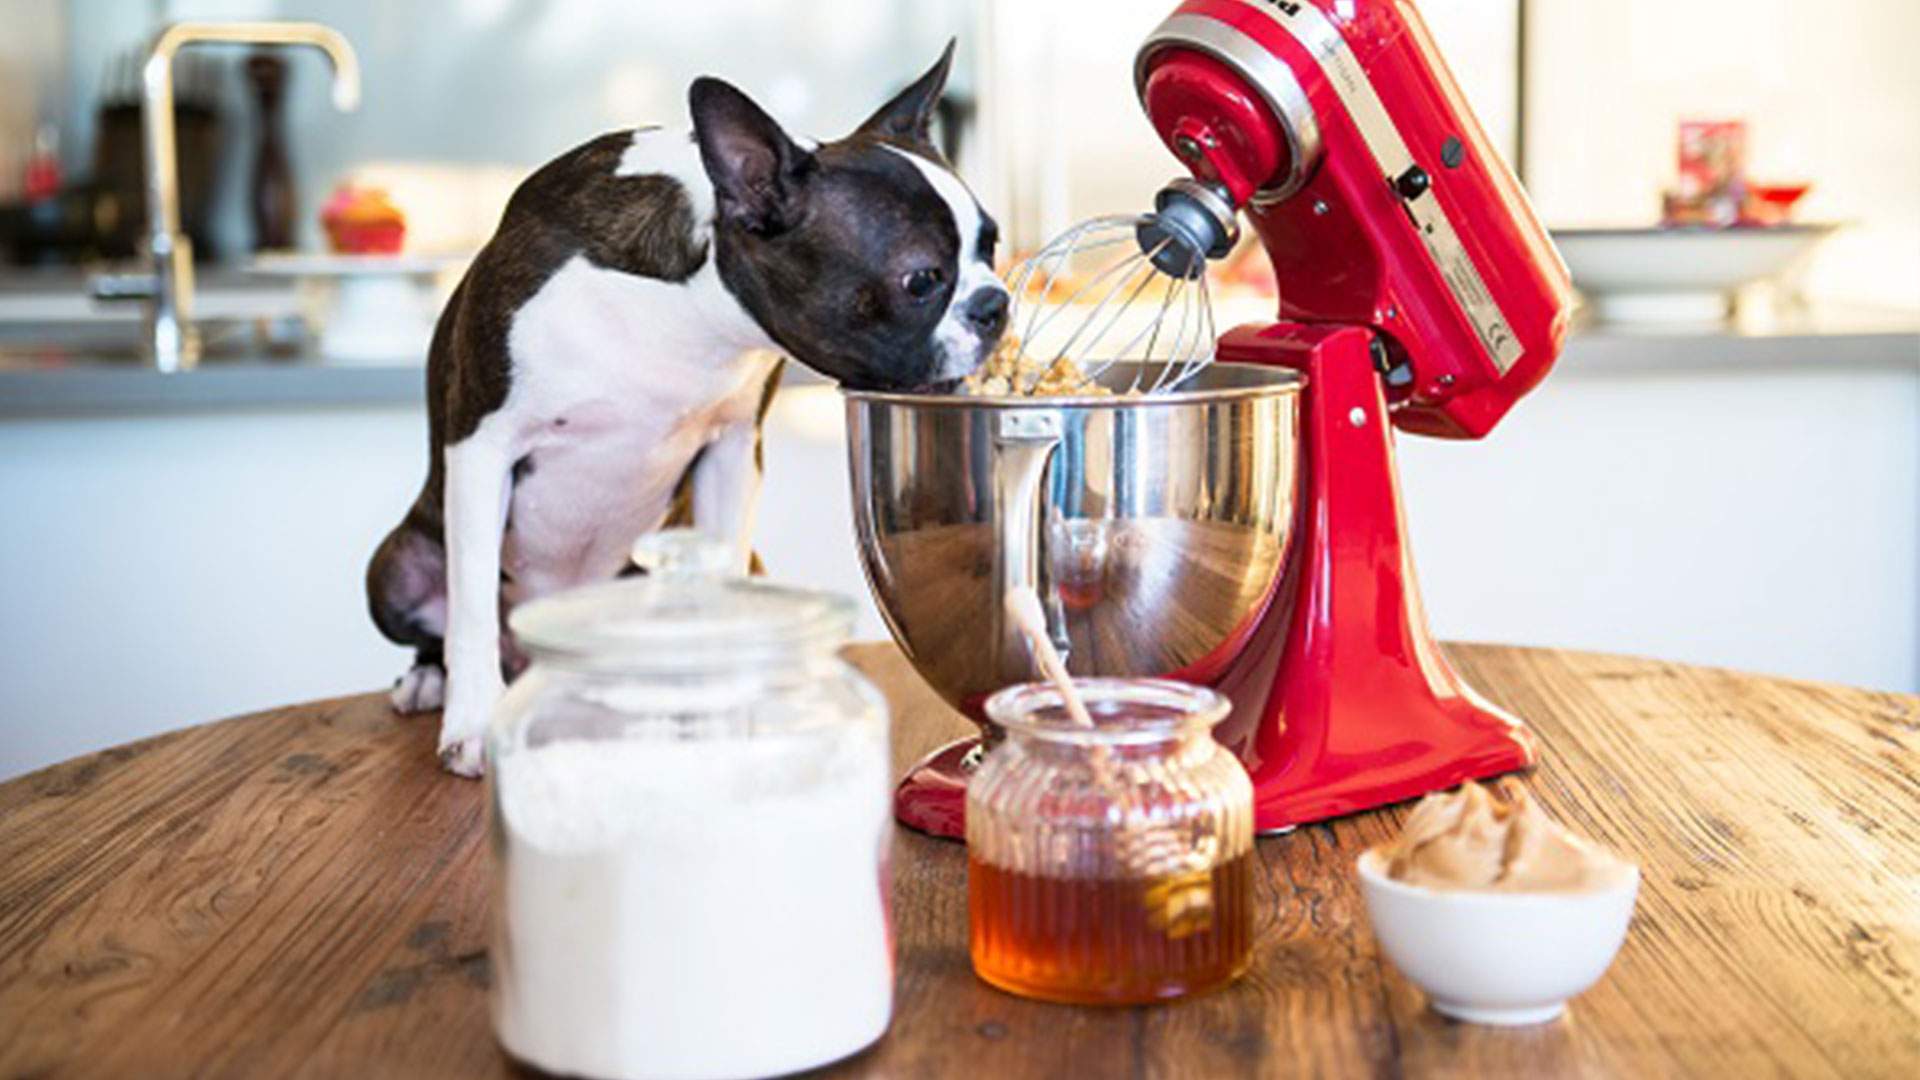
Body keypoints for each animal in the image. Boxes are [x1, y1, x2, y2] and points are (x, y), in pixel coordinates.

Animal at [364, 39, 1013, 764]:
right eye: (922, 279)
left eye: (991, 245)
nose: (996, 304)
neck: (686, 303)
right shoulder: (483, 444)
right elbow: (472, 601)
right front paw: (474, 722)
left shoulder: (730, 452)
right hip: (394, 568)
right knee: (445, 621)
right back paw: (429, 681)